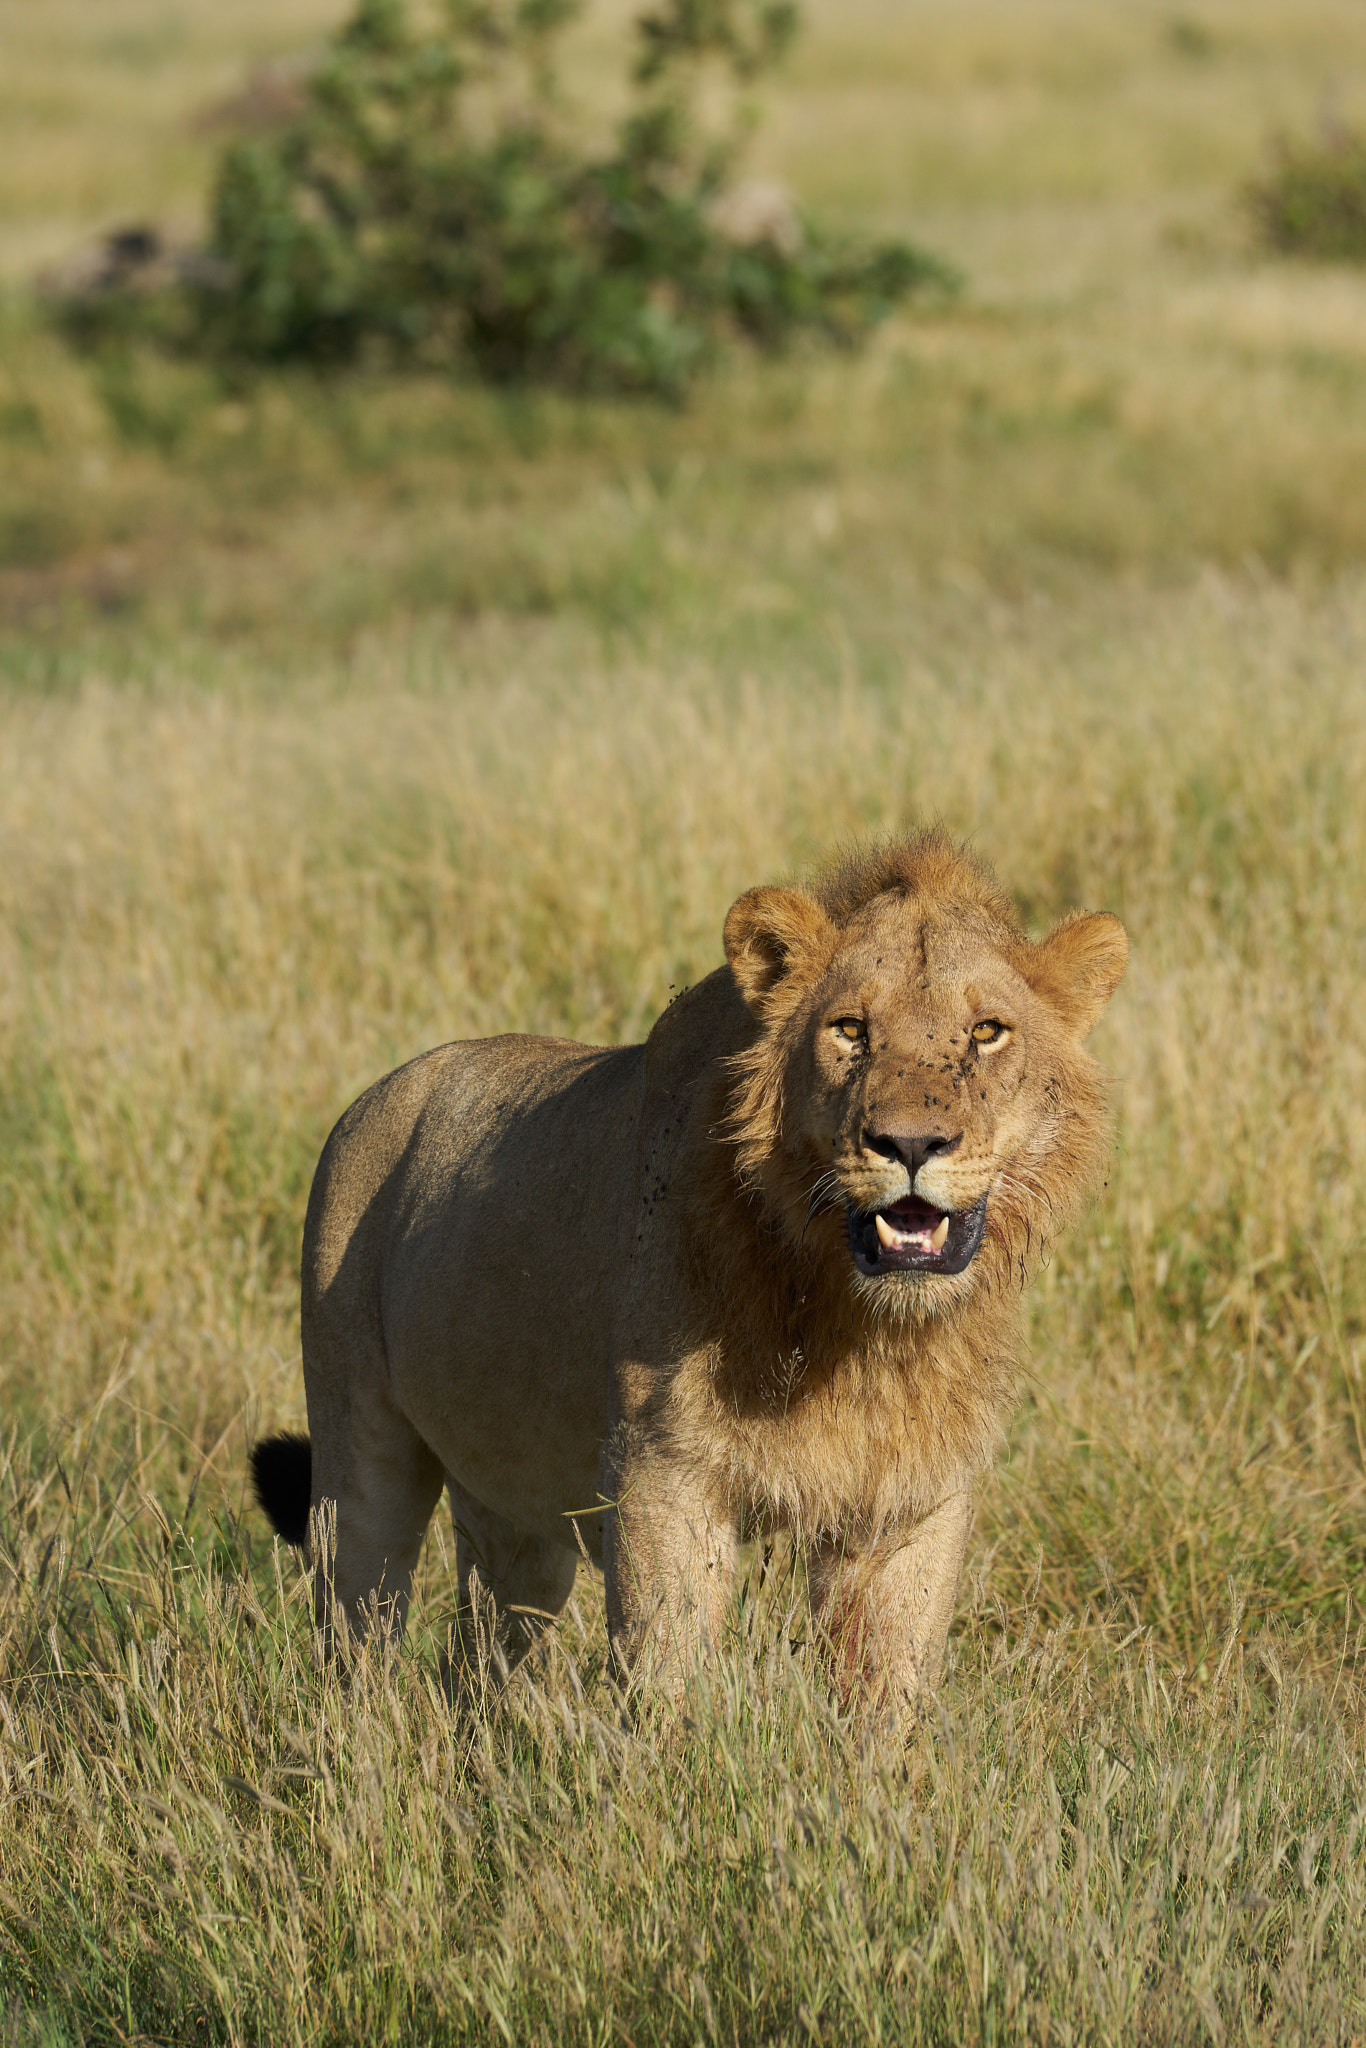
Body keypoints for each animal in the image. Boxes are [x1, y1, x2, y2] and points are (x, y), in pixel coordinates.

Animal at [250, 831, 1130, 1712]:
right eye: (849, 1028)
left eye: (988, 1031)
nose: (910, 1144)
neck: (856, 1322)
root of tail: (377, 1092)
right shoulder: (660, 1470)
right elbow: (667, 1672)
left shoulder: (916, 1497)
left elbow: (888, 1689)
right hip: (359, 1453)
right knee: (357, 1625)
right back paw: (355, 1730)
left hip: (513, 1512)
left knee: (483, 1649)